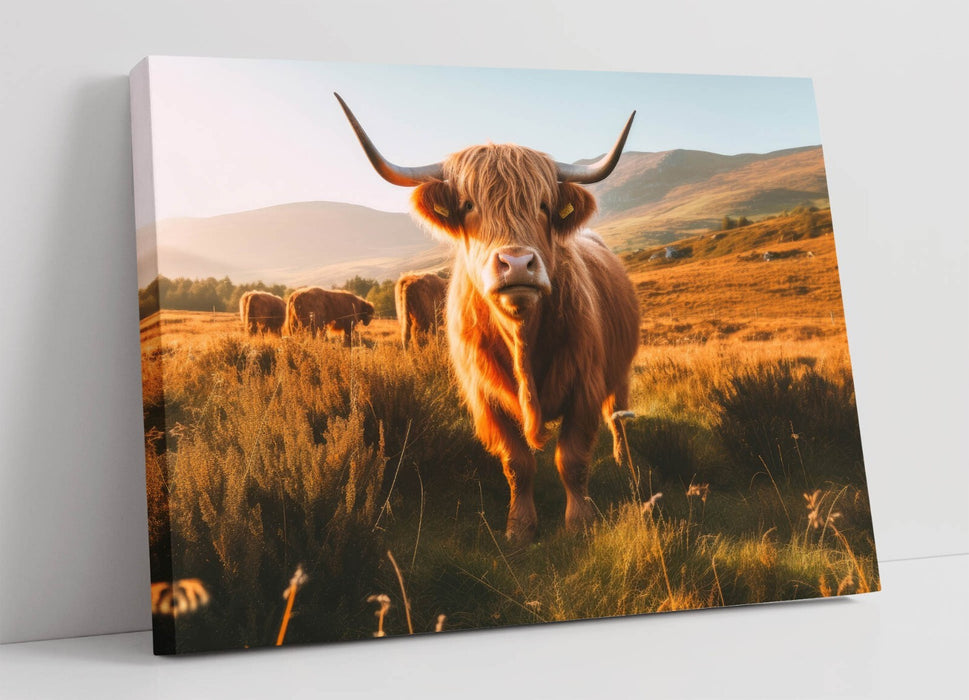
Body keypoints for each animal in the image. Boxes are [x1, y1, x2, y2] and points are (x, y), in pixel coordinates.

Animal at [337, 94, 640, 545]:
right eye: (468, 205)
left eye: (544, 206)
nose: (517, 263)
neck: (522, 335)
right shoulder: (485, 398)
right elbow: (517, 464)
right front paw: (520, 528)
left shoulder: (584, 386)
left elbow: (572, 460)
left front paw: (580, 522)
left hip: (619, 370)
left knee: (618, 414)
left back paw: (625, 459)